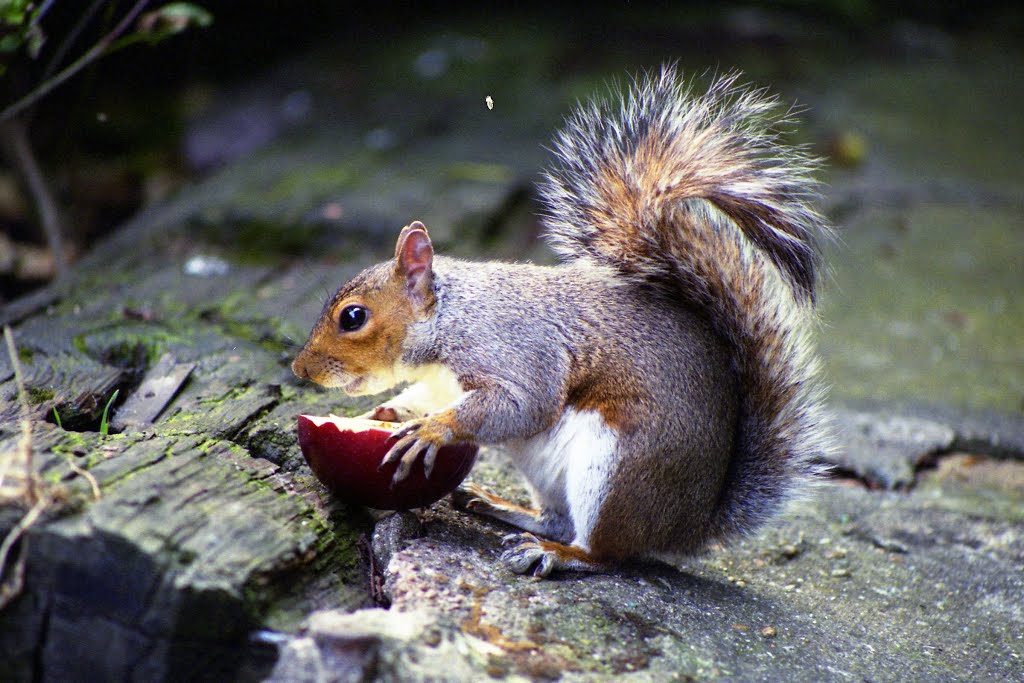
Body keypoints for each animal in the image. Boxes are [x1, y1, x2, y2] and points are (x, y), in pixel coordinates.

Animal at [292, 65, 835, 577]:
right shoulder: (441, 380)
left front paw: (433, 430)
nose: (300, 370)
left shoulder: (511, 348)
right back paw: (501, 507)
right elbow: (420, 397)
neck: (451, 318)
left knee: (605, 553)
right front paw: (384, 413)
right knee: (557, 518)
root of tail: (689, 524)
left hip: (615, 465)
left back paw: (556, 554)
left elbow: (522, 403)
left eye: (353, 317)